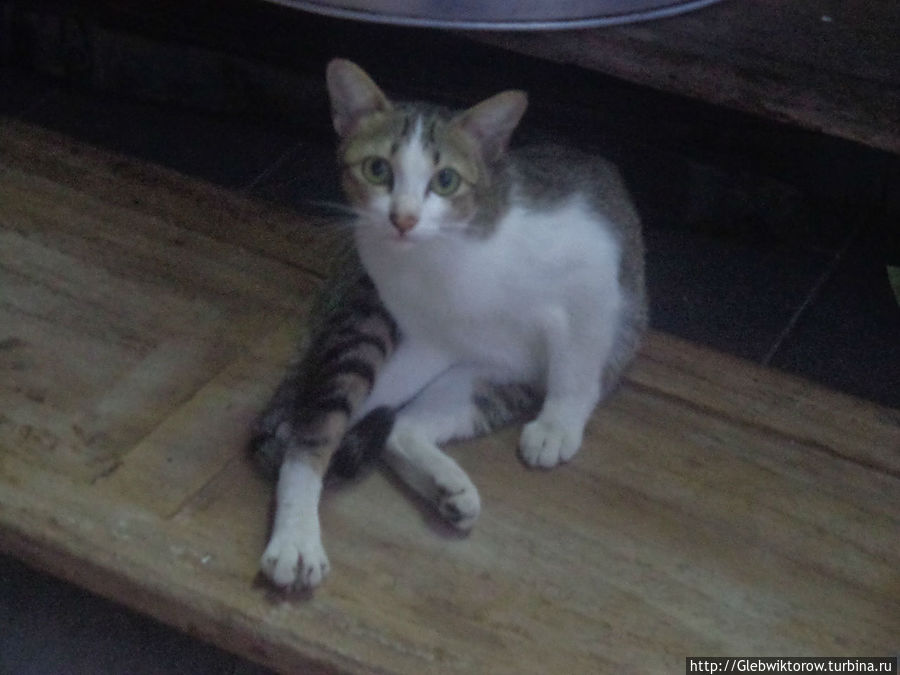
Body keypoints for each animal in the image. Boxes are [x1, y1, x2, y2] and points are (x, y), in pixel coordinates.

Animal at [251, 58, 647, 590]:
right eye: (378, 169)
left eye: (445, 181)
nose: (403, 219)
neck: (446, 261)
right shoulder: (416, 328)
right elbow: (318, 429)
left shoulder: (594, 276)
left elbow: (579, 362)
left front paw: (558, 421)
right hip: (377, 334)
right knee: (320, 425)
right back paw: (298, 535)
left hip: (492, 374)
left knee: (402, 426)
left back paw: (448, 486)